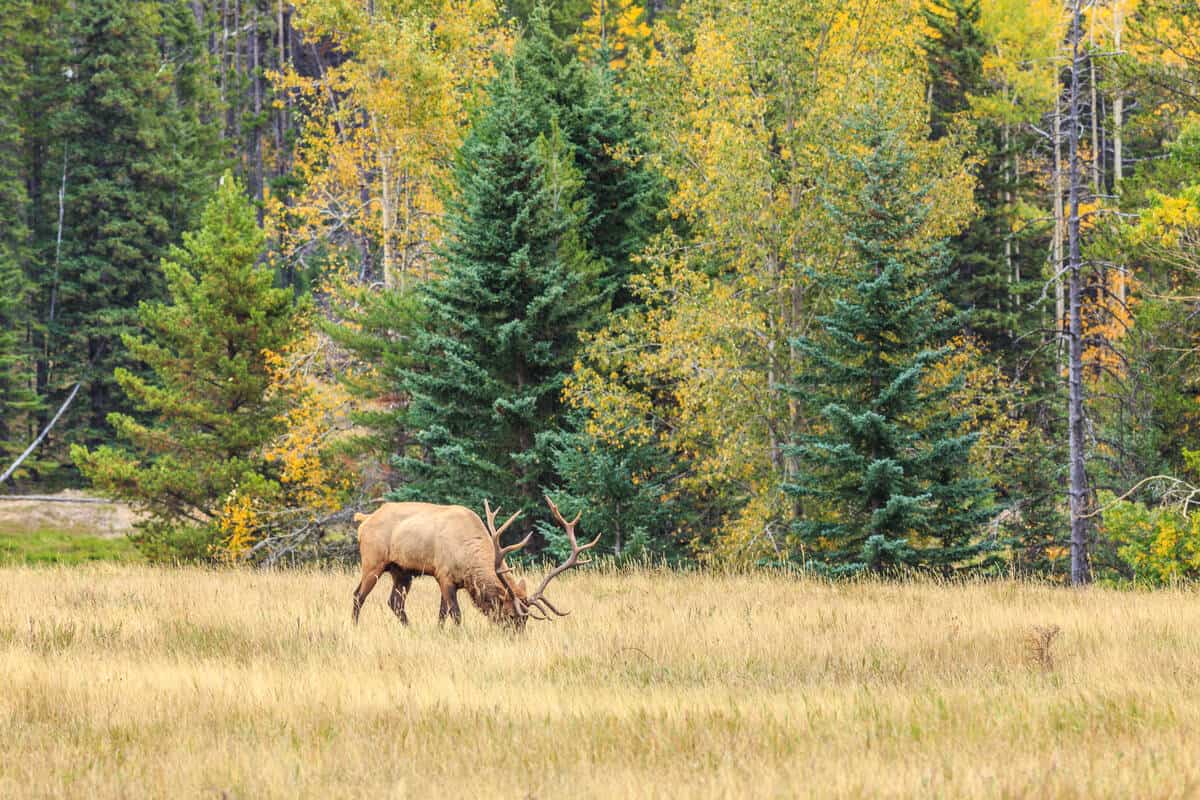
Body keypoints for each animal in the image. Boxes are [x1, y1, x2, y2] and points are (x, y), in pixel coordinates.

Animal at [352, 494, 600, 633]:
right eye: (510, 616)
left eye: (527, 618)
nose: (518, 638)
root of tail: (364, 520)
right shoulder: (444, 575)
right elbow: (455, 614)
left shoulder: (451, 581)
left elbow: (442, 613)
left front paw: (439, 633)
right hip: (372, 562)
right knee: (358, 595)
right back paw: (355, 628)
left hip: (402, 570)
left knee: (394, 602)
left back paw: (410, 629)